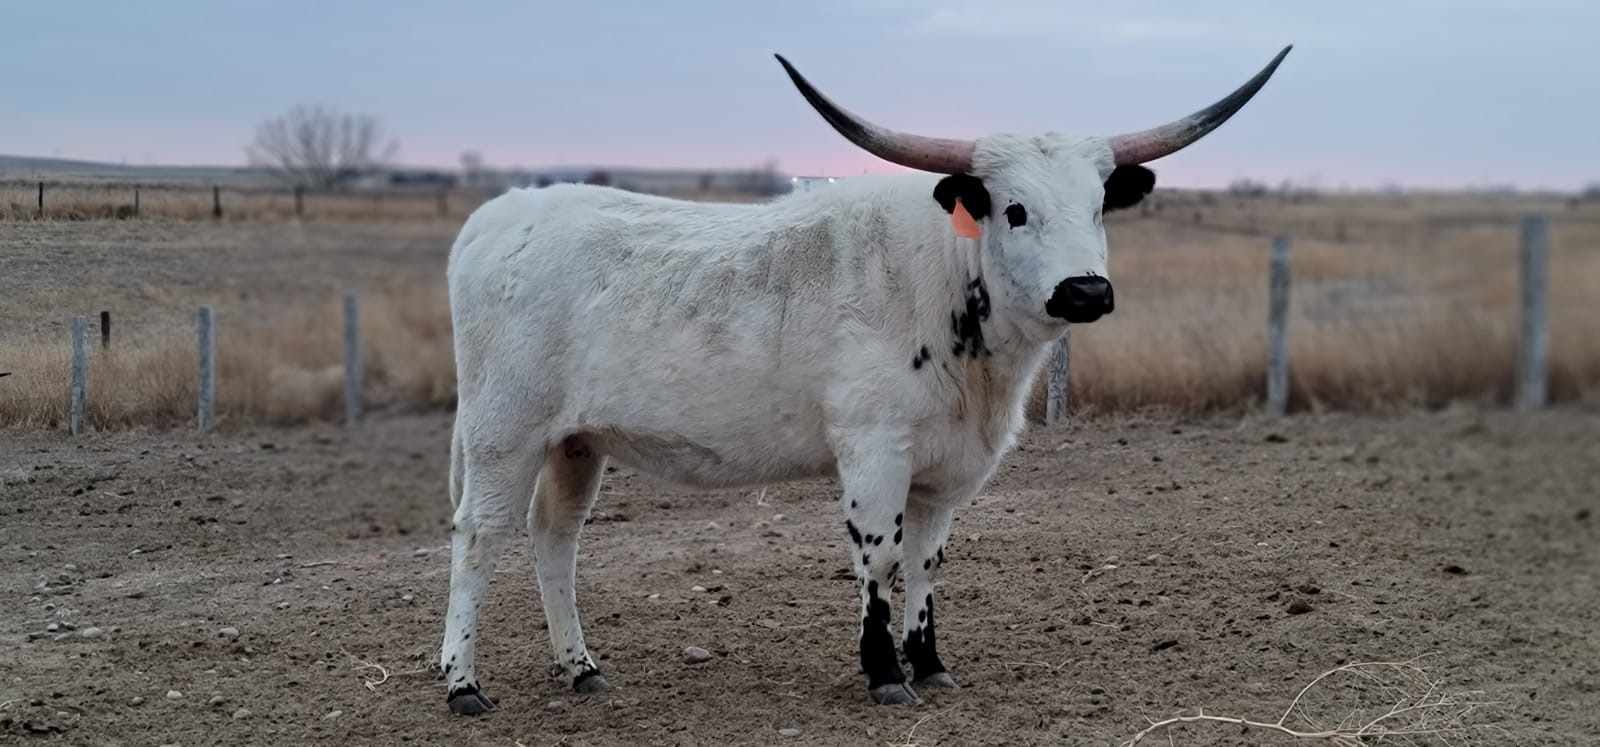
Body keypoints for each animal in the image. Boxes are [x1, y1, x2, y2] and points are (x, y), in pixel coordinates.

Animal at [437, 46, 1292, 714]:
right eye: (1015, 209)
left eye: (1098, 207)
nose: (1085, 291)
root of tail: (499, 217)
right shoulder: (873, 451)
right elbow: (879, 558)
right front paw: (884, 674)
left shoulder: (946, 469)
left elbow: (925, 563)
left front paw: (932, 664)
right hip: (503, 431)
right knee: (480, 535)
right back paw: (462, 684)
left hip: (575, 441)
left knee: (555, 537)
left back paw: (581, 668)